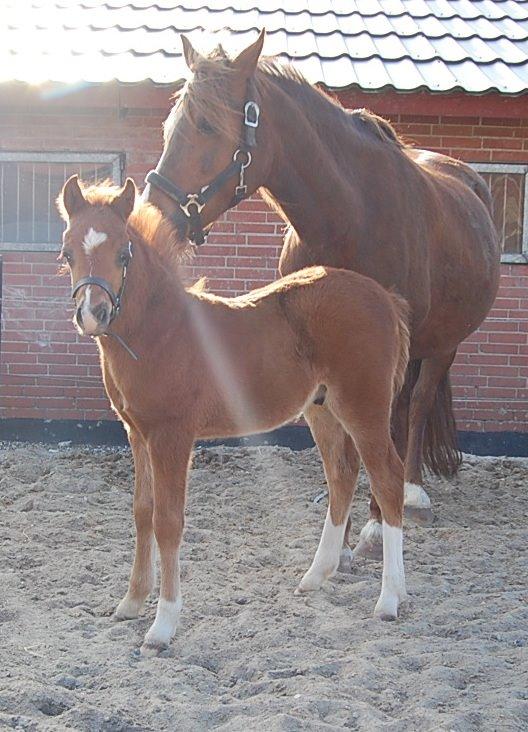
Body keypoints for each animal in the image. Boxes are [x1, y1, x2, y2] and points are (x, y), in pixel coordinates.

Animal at [58, 175, 410, 656]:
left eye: (123, 253)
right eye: (67, 252)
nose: (93, 314)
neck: (160, 332)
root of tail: (385, 298)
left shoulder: (172, 435)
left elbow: (169, 521)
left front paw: (163, 624)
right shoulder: (137, 433)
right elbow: (142, 511)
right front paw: (131, 601)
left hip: (365, 405)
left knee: (388, 479)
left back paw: (390, 598)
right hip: (322, 409)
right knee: (342, 475)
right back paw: (316, 575)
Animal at [143, 31, 500, 559]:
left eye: (207, 125)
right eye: (171, 127)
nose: (152, 216)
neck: (352, 214)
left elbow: (384, 431)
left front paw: (373, 527)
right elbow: (340, 449)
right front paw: (342, 533)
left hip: (443, 343)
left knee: (415, 407)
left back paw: (413, 493)